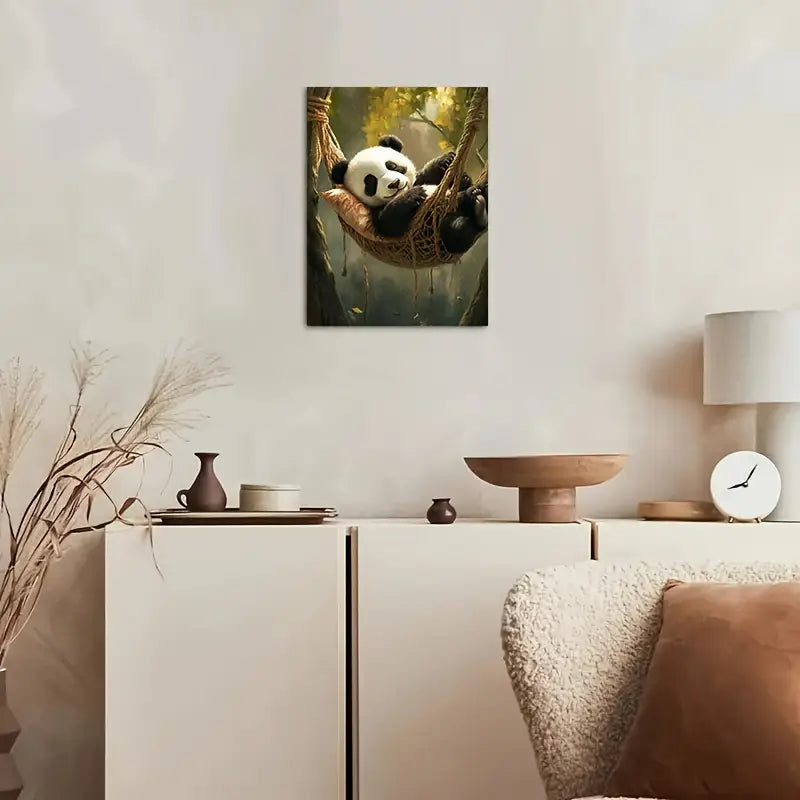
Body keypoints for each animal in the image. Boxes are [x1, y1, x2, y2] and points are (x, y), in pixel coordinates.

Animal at [329, 135, 488, 256]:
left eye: (392, 166)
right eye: (370, 182)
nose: (394, 183)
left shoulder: (420, 180)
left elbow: (426, 177)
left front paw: (445, 161)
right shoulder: (376, 217)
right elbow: (388, 221)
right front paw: (413, 195)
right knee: (455, 231)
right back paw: (477, 206)